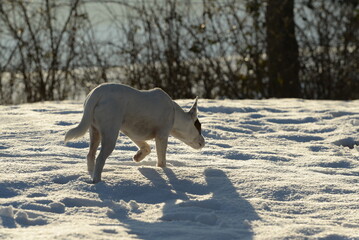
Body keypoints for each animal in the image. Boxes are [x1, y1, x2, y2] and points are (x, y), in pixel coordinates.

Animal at [64, 83, 205, 183]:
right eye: (199, 127)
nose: (204, 142)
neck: (175, 114)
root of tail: (96, 93)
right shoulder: (162, 136)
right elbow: (161, 160)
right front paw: (162, 170)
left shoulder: (132, 133)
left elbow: (146, 147)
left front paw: (138, 157)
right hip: (110, 134)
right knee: (100, 158)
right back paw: (97, 181)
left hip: (94, 131)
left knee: (90, 155)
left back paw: (90, 173)